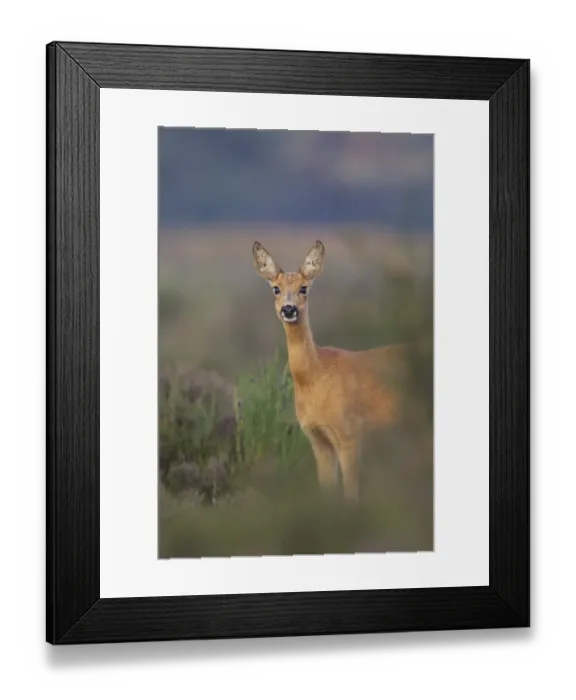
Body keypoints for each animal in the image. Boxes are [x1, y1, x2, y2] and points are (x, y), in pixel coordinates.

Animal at [252, 239, 408, 502]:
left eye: (304, 288)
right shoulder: (317, 438)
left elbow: (351, 493)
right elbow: (326, 489)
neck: (315, 377)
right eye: (275, 288)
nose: (289, 309)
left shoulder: (349, 433)